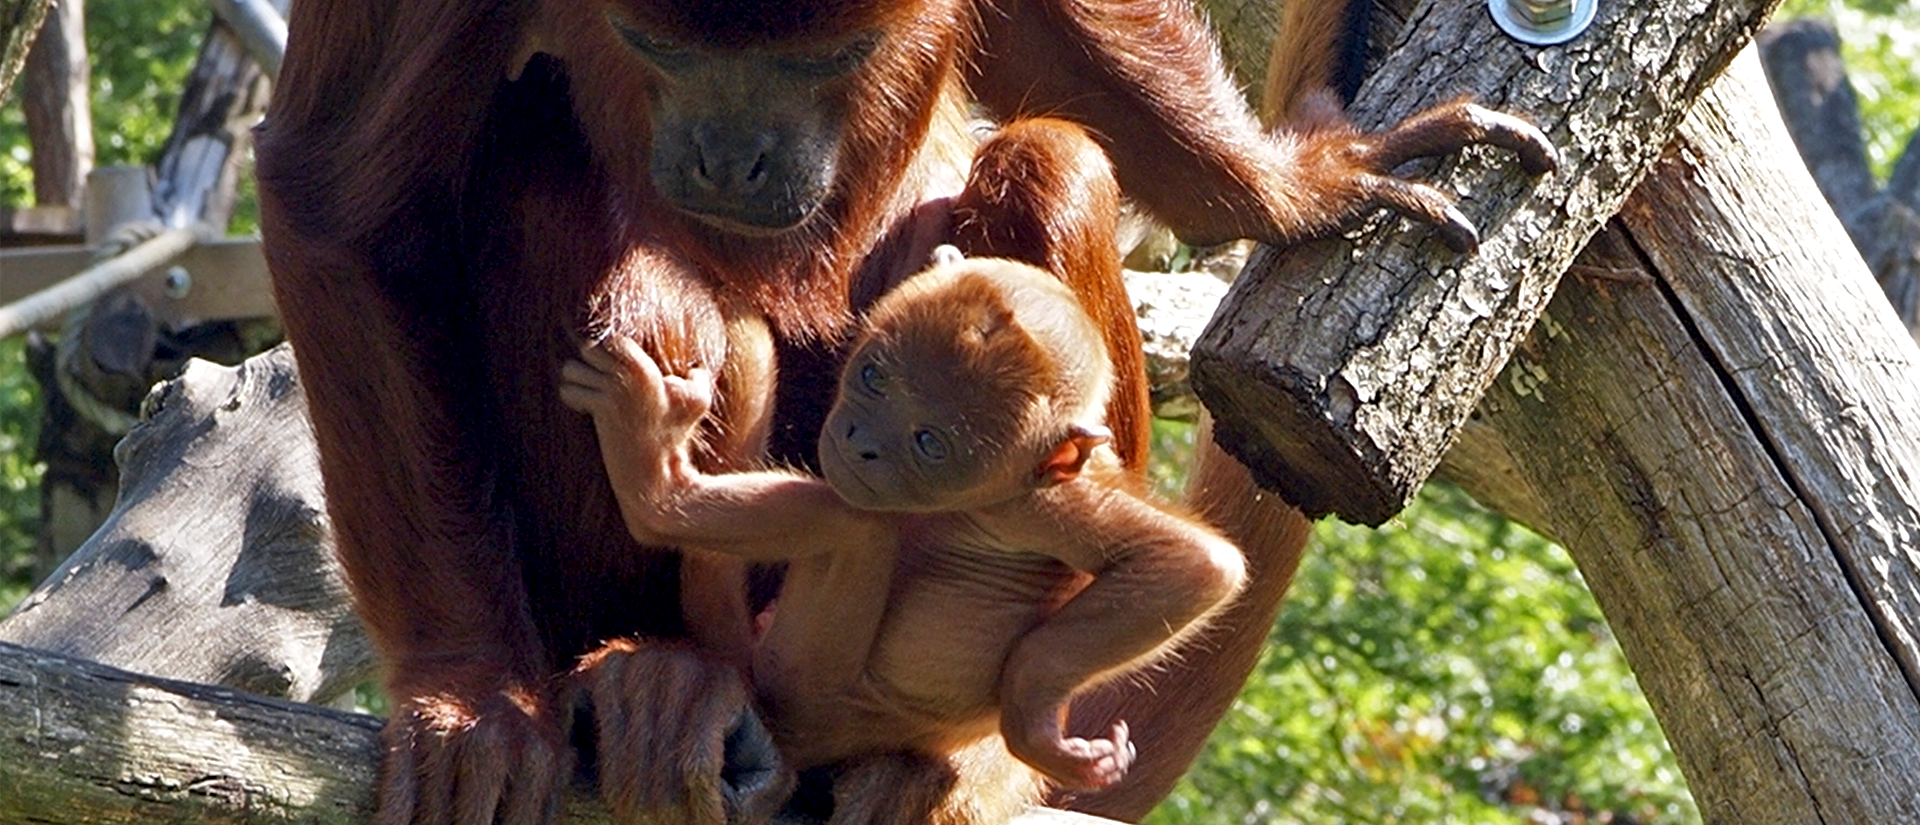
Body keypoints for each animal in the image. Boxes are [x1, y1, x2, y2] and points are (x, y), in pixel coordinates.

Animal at [559, 253, 1245, 801]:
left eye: (928, 443)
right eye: (874, 376)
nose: (860, 442)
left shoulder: (1031, 507)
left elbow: (1195, 566)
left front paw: (1033, 715)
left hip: (808, 689)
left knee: (851, 522)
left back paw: (656, 479)